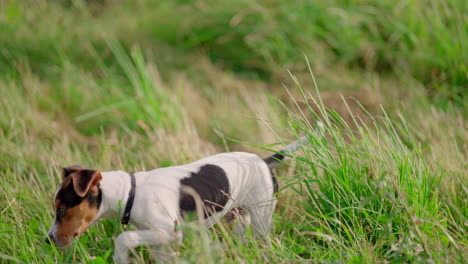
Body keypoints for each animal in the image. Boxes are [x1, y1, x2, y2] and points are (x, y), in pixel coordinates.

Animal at [45, 136, 308, 262]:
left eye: (62, 209)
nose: (48, 240)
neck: (131, 193)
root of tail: (264, 161)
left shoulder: (170, 232)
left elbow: (123, 238)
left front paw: (121, 257)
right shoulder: (160, 242)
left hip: (261, 218)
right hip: (240, 219)